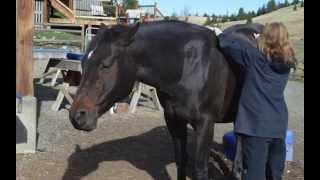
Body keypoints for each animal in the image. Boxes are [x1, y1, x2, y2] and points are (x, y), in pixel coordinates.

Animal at [69, 20, 264, 179]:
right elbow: (181, 160)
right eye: (83, 63)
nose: (77, 116)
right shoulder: (174, 120)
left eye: (106, 64)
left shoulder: (205, 125)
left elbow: (200, 170)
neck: (189, 65)